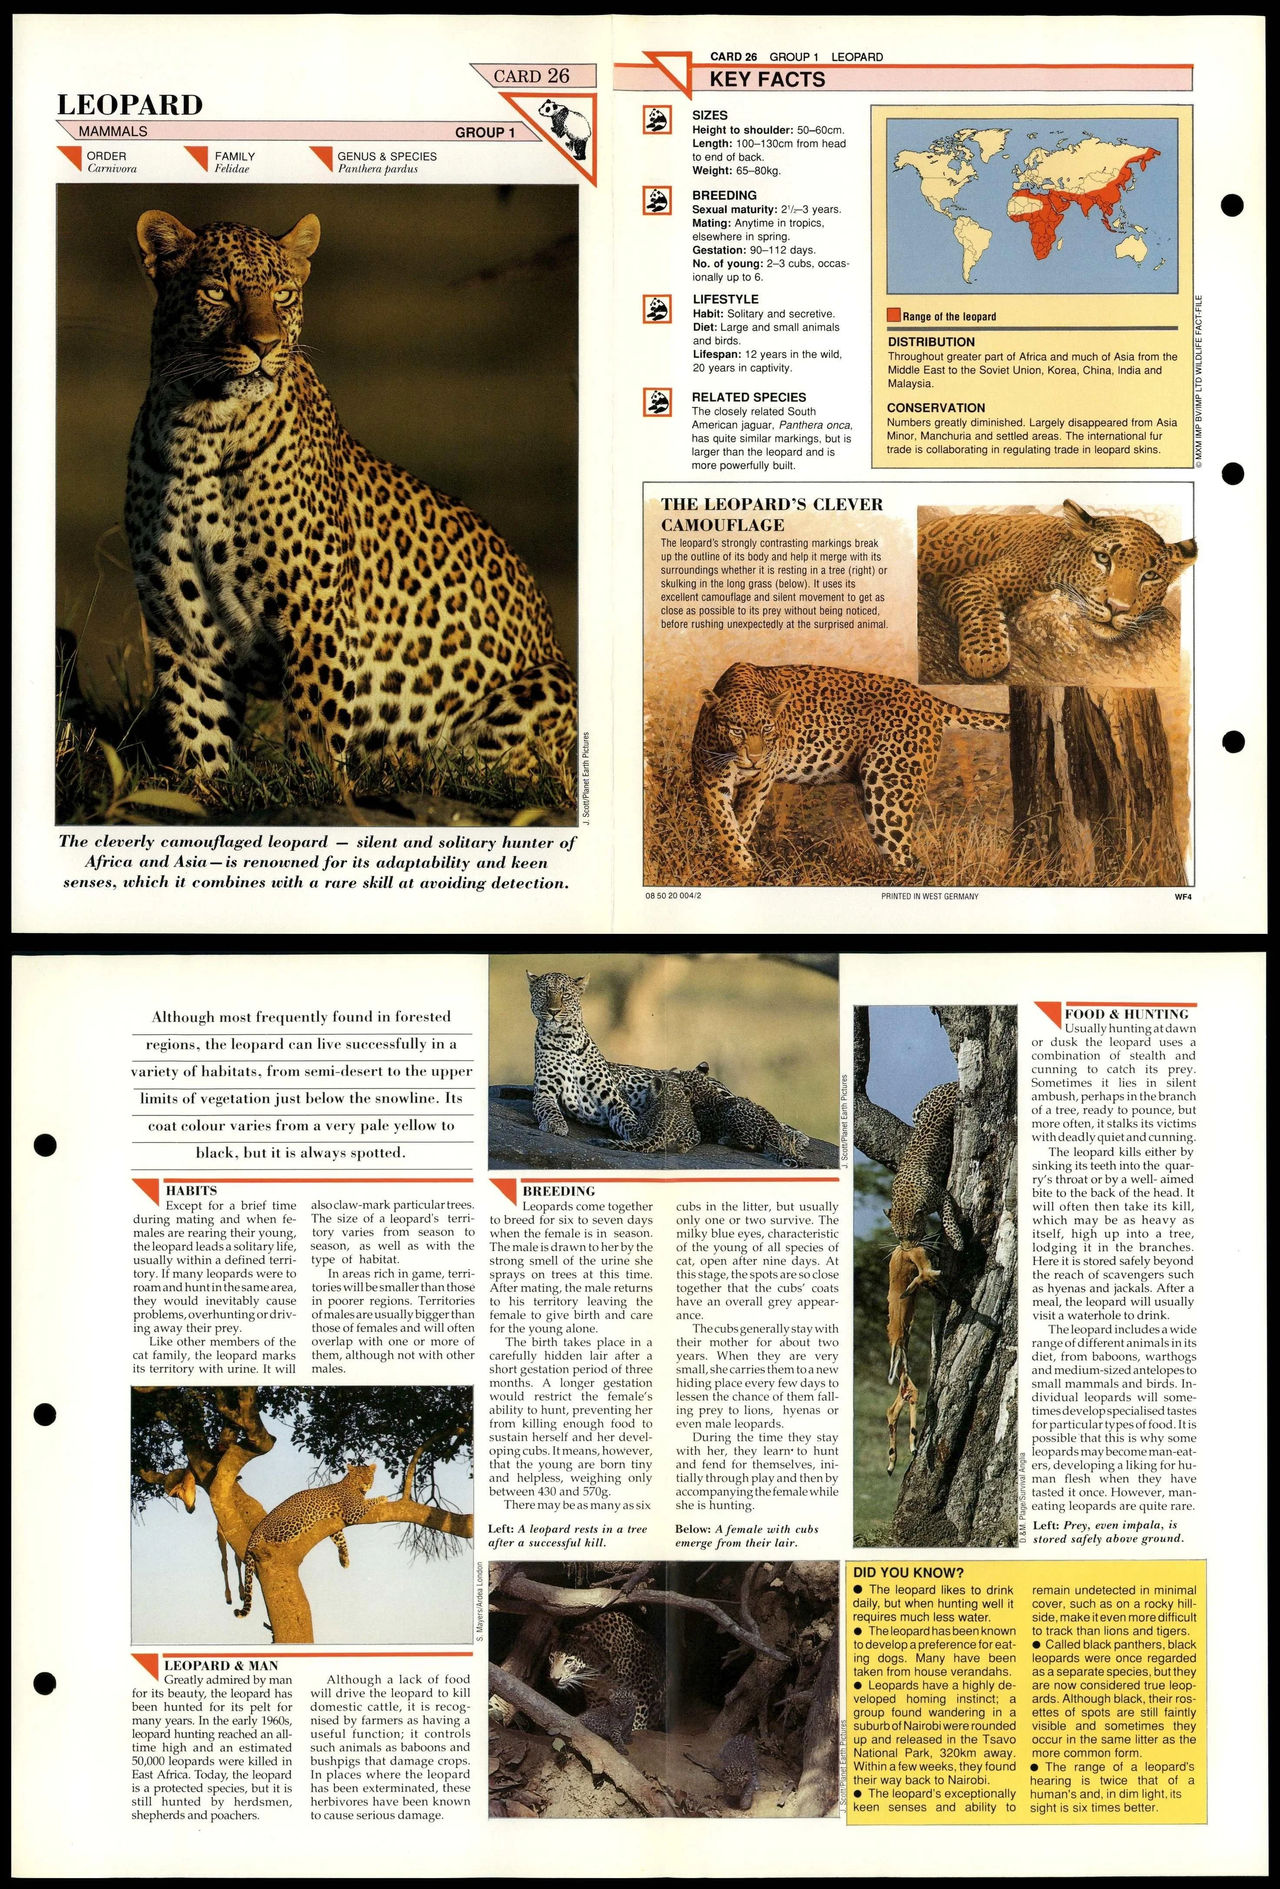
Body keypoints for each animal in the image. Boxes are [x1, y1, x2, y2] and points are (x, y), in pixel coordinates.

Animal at [124, 212, 575, 795]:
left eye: (284, 294)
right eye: (216, 292)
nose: (265, 345)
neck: (201, 428)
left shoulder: (313, 614)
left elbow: (315, 717)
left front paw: (318, 788)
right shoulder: (182, 627)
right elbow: (196, 722)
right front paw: (203, 789)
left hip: (550, 689)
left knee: (489, 771)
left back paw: (405, 765)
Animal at [233, 1461, 376, 1621]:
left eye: (369, 1475)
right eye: (360, 1476)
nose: (367, 1483)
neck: (352, 1485)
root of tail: (260, 1526)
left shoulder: (334, 1523)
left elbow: (341, 1540)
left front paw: (344, 1559)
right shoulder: (353, 1512)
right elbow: (368, 1503)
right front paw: (382, 1498)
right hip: (296, 1520)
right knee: (275, 1540)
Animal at [526, 971, 699, 1153]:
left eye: (565, 994)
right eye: (544, 993)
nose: (553, 1011)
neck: (564, 1039)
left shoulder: (611, 1096)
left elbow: (626, 1116)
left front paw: (638, 1133)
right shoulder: (544, 1092)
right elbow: (549, 1109)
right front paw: (555, 1124)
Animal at [691, 661, 1010, 885]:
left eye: (768, 728)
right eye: (736, 730)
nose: (755, 758)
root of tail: (927, 698)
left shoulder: (760, 780)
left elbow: (742, 819)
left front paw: (742, 868)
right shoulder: (710, 777)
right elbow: (724, 822)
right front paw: (736, 862)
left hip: (887, 790)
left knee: (903, 860)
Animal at [918, 498, 1196, 681]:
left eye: (1150, 576)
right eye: (1103, 558)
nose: (1117, 608)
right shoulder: (973, 579)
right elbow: (979, 607)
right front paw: (985, 656)